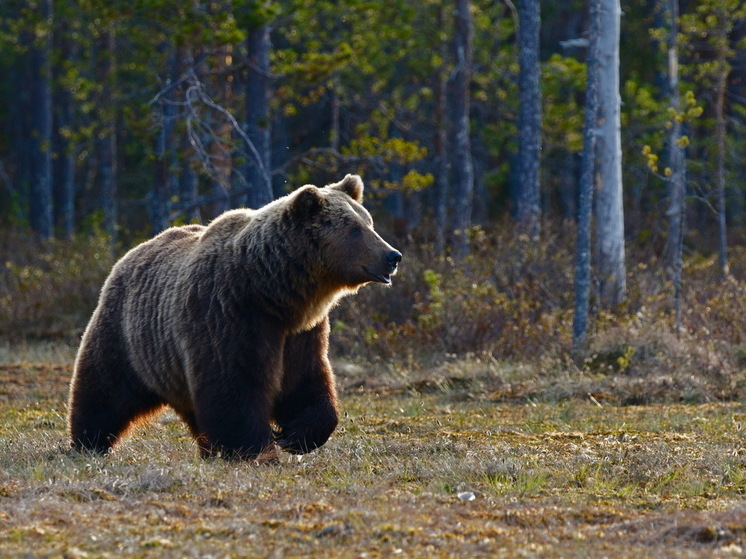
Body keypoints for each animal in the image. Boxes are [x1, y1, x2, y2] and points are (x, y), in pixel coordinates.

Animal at [67, 175, 398, 460]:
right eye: (354, 229)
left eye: (368, 222)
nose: (393, 256)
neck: (272, 291)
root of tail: (130, 253)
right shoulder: (229, 314)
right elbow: (235, 385)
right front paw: (255, 449)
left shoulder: (301, 332)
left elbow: (305, 380)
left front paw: (295, 436)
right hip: (127, 334)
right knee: (104, 389)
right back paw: (88, 442)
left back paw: (208, 449)